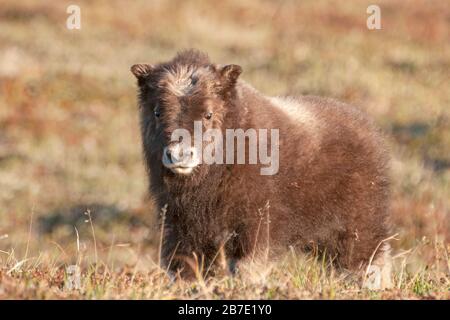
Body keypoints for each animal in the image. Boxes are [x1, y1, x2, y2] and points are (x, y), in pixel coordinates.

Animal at [132, 49, 392, 288]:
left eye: (208, 114)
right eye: (157, 112)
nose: (179, 154)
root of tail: (371, 130)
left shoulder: (257, 221)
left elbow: (247, 263)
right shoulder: (181, 224)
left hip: (358, 223)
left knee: (367, 257)